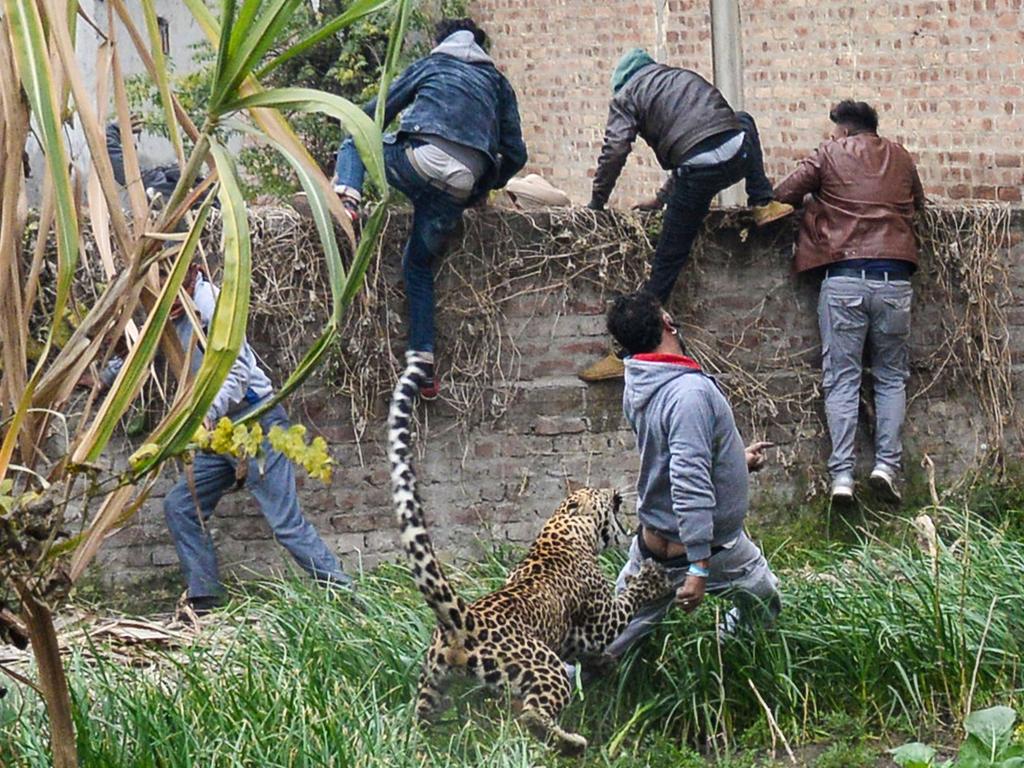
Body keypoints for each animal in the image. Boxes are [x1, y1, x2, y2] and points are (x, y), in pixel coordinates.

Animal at [385, 356, 671, 757]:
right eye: (598, 492)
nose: (614, 490)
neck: (562, 530)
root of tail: (464, 620)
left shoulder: (574, 637)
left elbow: (589, 651)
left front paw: (604, 662)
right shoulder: (600, 617)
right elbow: (626, 602)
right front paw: (652, 579)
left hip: (432, 682)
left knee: (420, 720)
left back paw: (421, 745)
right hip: (544, 666)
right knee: (533, 714)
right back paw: (570, 743)